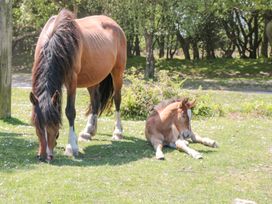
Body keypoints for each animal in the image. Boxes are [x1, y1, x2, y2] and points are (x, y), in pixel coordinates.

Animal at [29, 9, 126, 161]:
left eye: (54, 124)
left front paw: (71, 147)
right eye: (37, 125)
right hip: (93, 78)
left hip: (117, 72)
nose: (45, 156)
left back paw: (118, 132)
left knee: (117, 99)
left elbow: (70, 111)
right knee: (95, 102)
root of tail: (115, 25)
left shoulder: (71, 81)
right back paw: (88, 132)